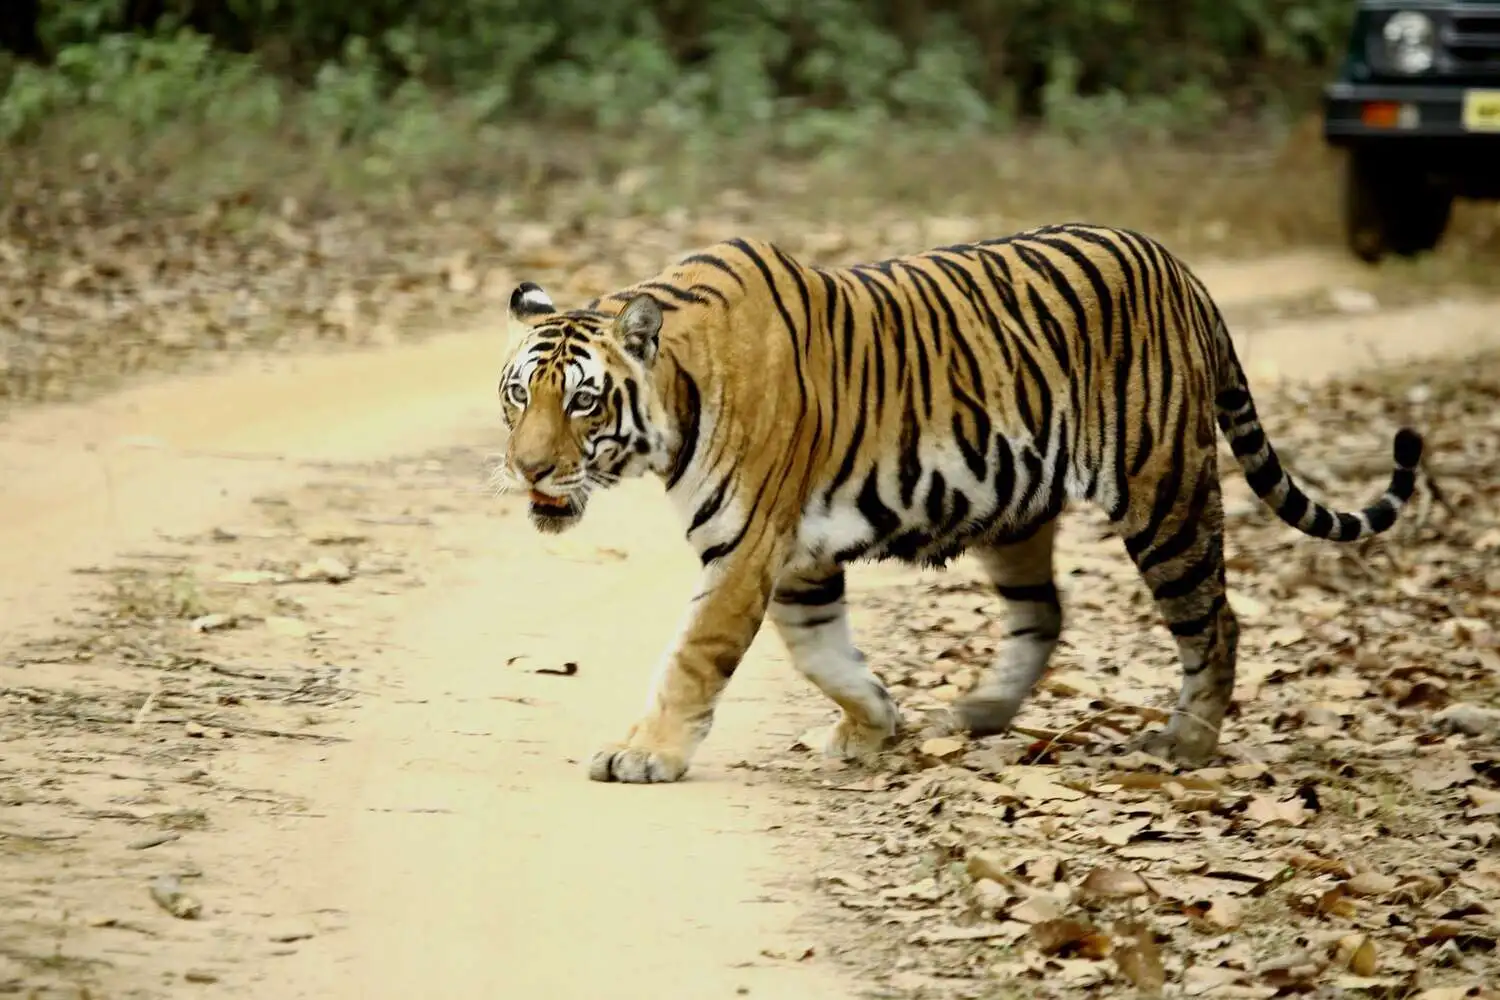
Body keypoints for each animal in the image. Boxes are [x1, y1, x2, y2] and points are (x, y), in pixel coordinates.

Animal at [495, 223, 1428, 785]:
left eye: (582, 403)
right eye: (516, 396)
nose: (527, 468)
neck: (677, 400)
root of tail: (1180, 266)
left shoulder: (747, 547)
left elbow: (694, 657)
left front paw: (643, 754)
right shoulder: (797, 557)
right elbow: (823, 653)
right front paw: (876, 726)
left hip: (1164, 493)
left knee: (1215, 620)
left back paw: (1187, 742)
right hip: (1015, 506)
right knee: (1045, 612)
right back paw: (980, 712)